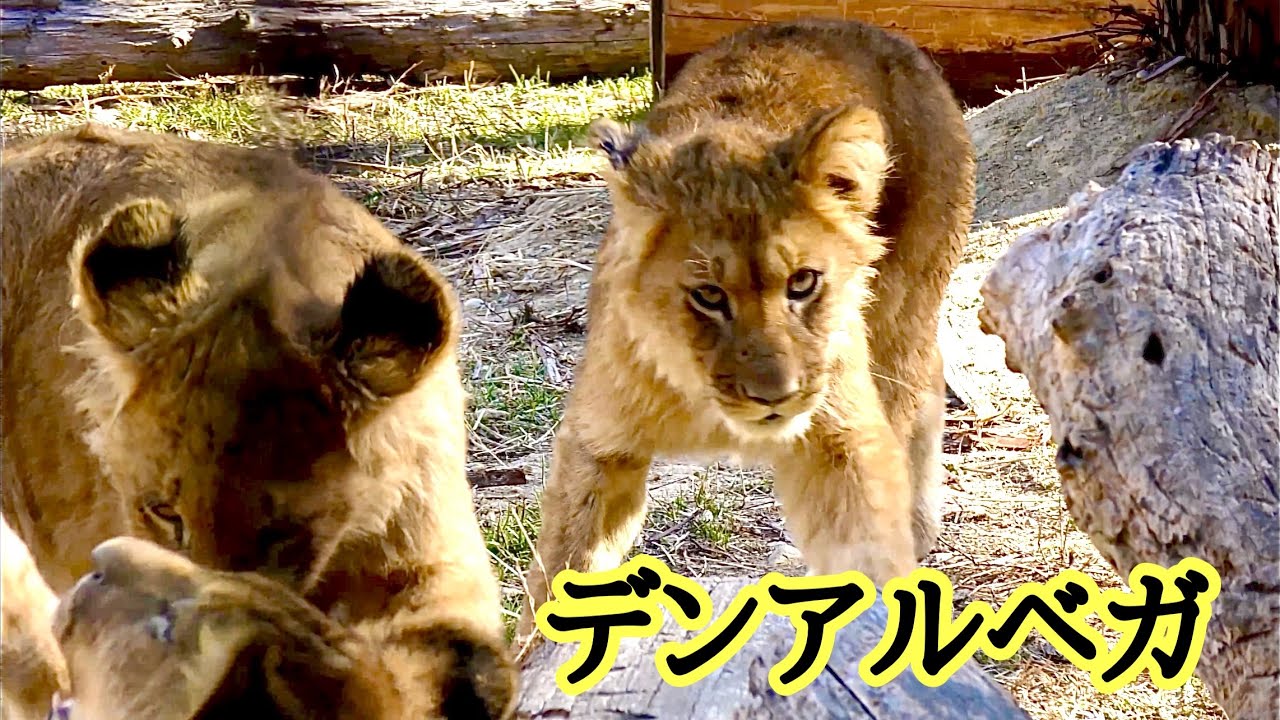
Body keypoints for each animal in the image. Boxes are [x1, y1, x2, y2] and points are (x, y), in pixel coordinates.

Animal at [519, 19, 975, 636]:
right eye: (709, 296)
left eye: (803, 282)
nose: (774, 396)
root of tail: (864, 27)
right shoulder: (599, 444)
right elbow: (564, 566)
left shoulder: (841, 437)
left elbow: (866, 545)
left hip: (900, 307)